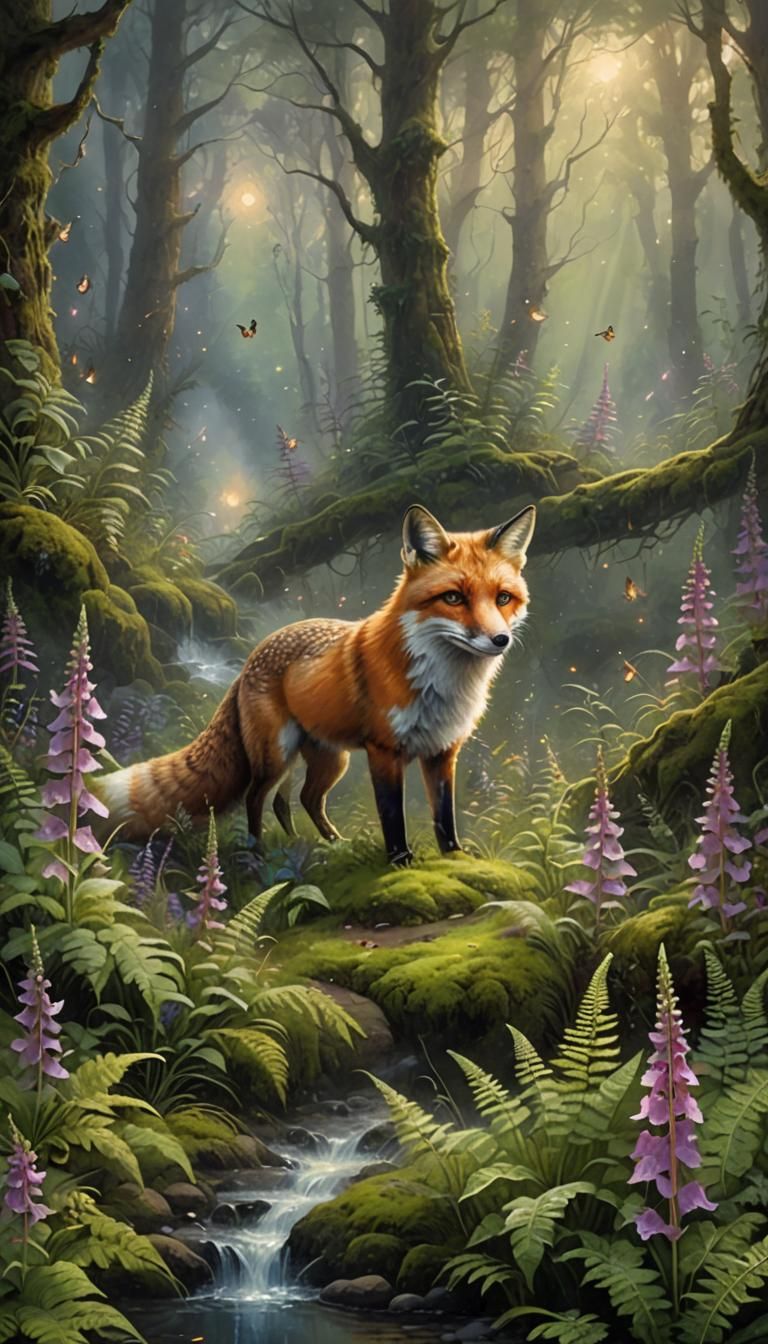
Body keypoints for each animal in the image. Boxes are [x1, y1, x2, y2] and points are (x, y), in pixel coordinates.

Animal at [97, 503, 536, 865]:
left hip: (329, 759)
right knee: (258, 798)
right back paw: (260, 852)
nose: (500, 640)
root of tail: (252, 657)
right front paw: (400, 861)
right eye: (453, 598)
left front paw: (454, 856)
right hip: (278, 754)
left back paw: (319, 845)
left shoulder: (442, 750)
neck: (443, 686)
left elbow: (444, 815)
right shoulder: (384, 751)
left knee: (297, 800)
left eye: (503, 598)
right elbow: (392, 815)